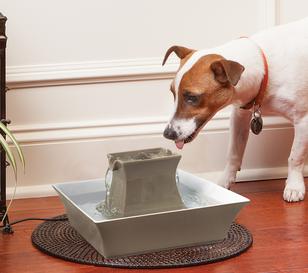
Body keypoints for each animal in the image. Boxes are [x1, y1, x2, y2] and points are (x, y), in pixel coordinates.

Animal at [162, 16, 306, 200]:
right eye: (173, 93)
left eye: (192, 97)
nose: (168, 134)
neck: (266, 69)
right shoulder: (240, 115)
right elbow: (234, 153)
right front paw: (225, 181)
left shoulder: (303, 121)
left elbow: (295, 157)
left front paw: (294, 185)